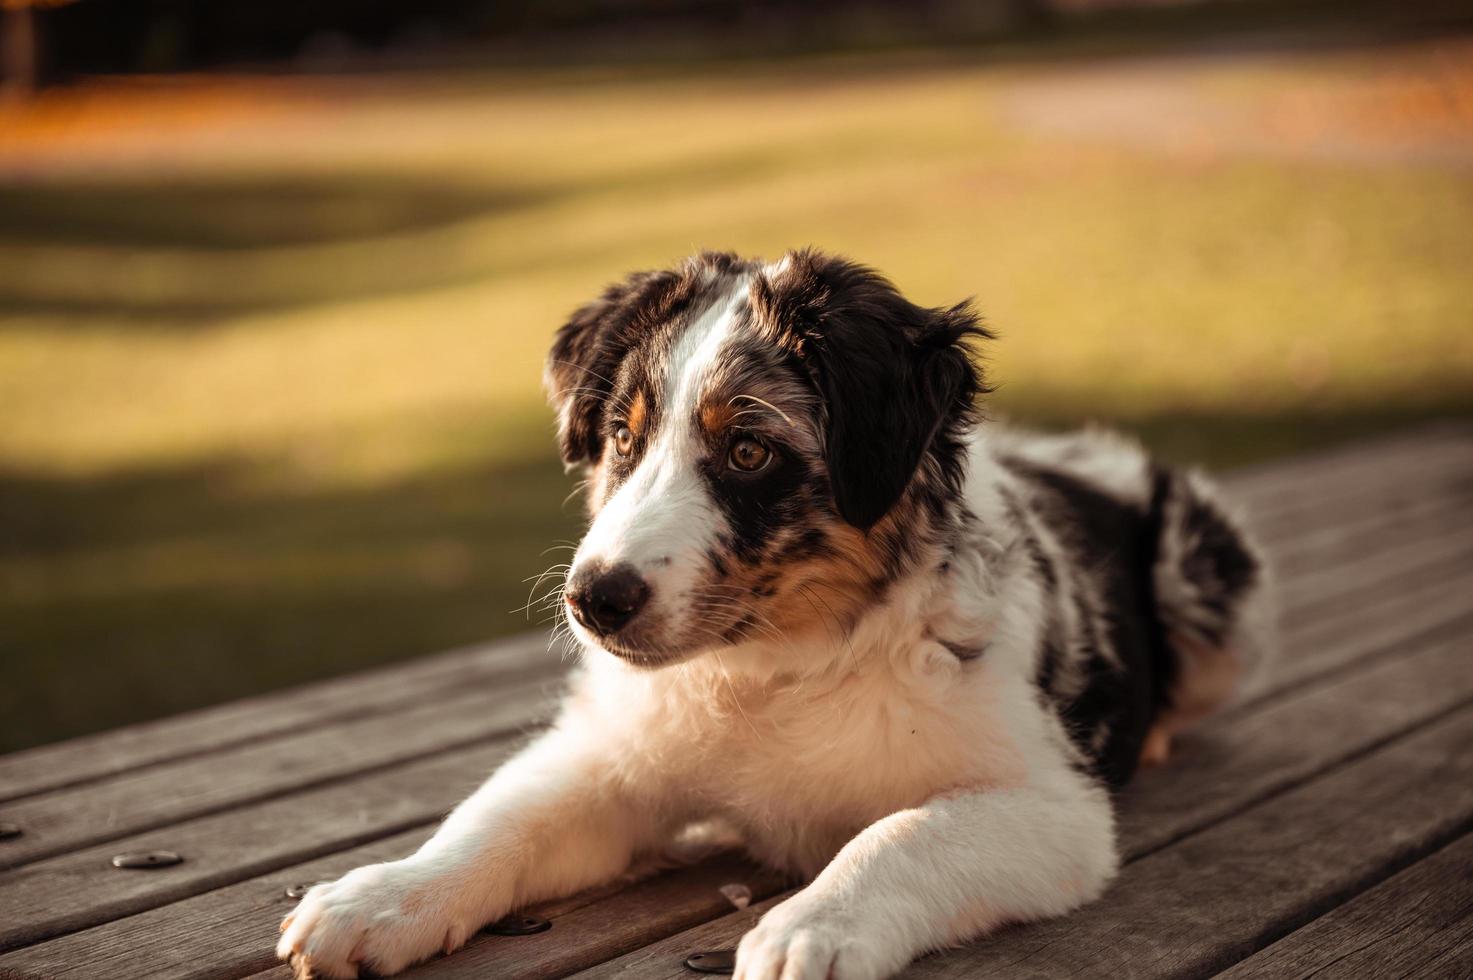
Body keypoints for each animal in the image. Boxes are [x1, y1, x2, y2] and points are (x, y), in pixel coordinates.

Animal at [281, 246, 1272, 978]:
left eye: (749, 451)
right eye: (621, 438)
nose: (593, 601)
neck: (775, 669)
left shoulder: (1051, 802)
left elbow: (903, 831)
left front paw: (813, 930)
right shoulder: (610, 753)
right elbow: (501, 817)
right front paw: (379, 898)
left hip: (1210, 585)